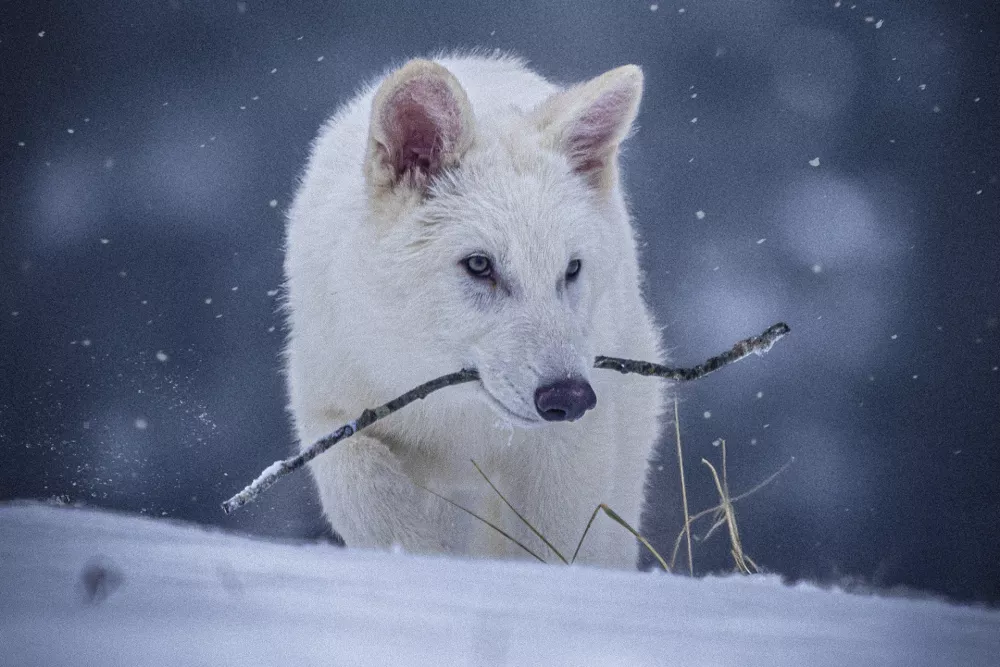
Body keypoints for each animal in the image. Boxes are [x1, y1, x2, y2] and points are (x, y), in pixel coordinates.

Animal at [284, 53, 665, 568]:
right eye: (480, 265)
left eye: (571, 269)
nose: (569, 397)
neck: (457, 415)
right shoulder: (330, 413)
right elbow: (369, 495)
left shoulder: (567, 450)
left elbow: (551, 546)